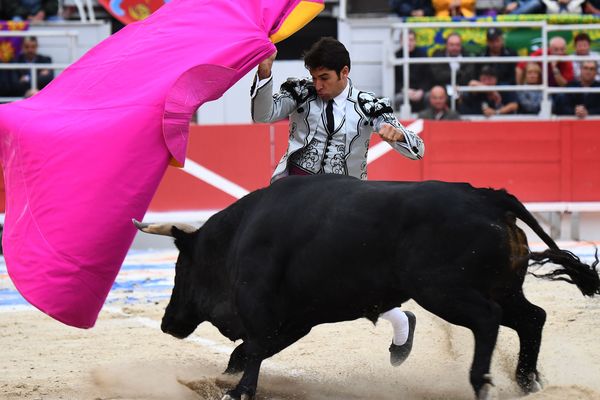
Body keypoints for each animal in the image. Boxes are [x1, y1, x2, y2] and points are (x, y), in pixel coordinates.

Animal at [135, 175, 600, 400]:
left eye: (180, 267)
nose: (167, 322)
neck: (238, 236)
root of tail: (489, 197)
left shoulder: (264, 310)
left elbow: (251, 352)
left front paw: (239, 393)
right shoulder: (297, 319)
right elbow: (247, 352)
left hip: (444, 291)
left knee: (489, 321)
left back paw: (482, 383)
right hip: (502, 288)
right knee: (531, 318)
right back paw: (527, 383)